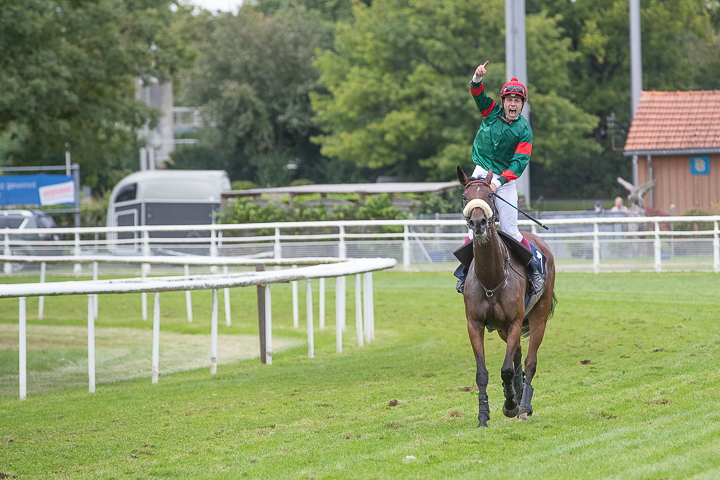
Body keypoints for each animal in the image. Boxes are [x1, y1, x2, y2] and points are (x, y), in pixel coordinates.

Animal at [462, 166, 556, 428]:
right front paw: (483, 416)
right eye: (464, 197)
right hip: (503, 329)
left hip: (538, 316)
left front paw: (512, 405)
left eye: (490, 196)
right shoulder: (475, 324)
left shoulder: (515, 322)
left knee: (530, 360)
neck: (492, 278)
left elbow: (505, 369)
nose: (478, 222)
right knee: (518, 355)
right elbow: (482, 372)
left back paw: (523, 406)